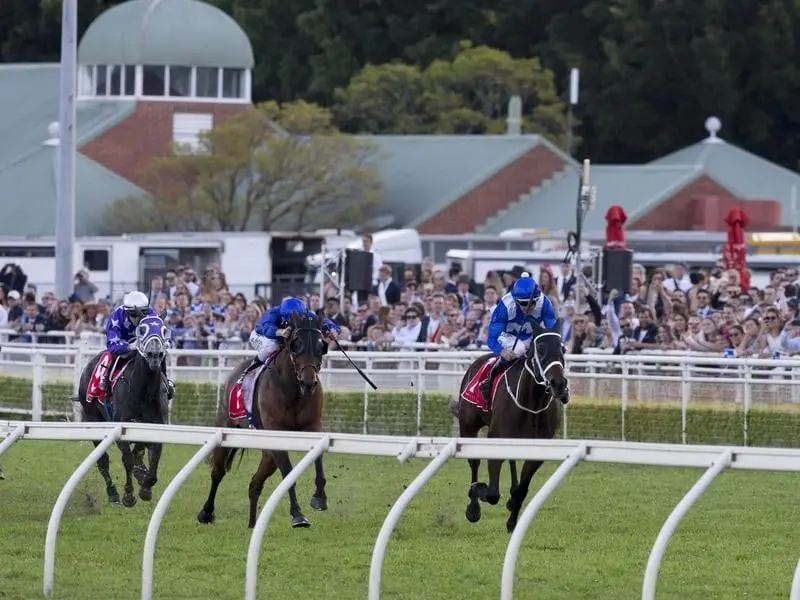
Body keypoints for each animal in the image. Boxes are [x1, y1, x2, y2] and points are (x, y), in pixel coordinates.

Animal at [75, 314, 170, 506]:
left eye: (164, 329)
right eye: (142, 329)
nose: (154, 354)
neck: (142, 392)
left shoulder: (155, 428)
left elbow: (150, 457)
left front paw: (145, 485)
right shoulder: (121, 429)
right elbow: (127, 459)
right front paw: (128, 495)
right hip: (92, 417)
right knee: (103, 461)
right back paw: (112, 493)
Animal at [198, 312, 330, 528]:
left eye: (322, 346)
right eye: (296, 344)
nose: (309, 382)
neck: (293, 389)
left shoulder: (313, 426)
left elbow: (318, 458)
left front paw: (319, 497)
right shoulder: (277, 433)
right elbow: (288, 472)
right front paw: (297, 515)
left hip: (268, 454)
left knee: (254, 483)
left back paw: (252, 524)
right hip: (227, 429)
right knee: (218, 472)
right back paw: (206, 512)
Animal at [456, 326, 568, 532]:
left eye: (562, 349)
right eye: (540, 349)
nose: (559, 384)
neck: (532, 403)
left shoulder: (538, 450)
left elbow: (521, 490)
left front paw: (512, 520)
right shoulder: (496, 438)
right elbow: (492, 493)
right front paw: (478, 491)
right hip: (467, 425)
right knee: (474, 462)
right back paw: (473, 505)